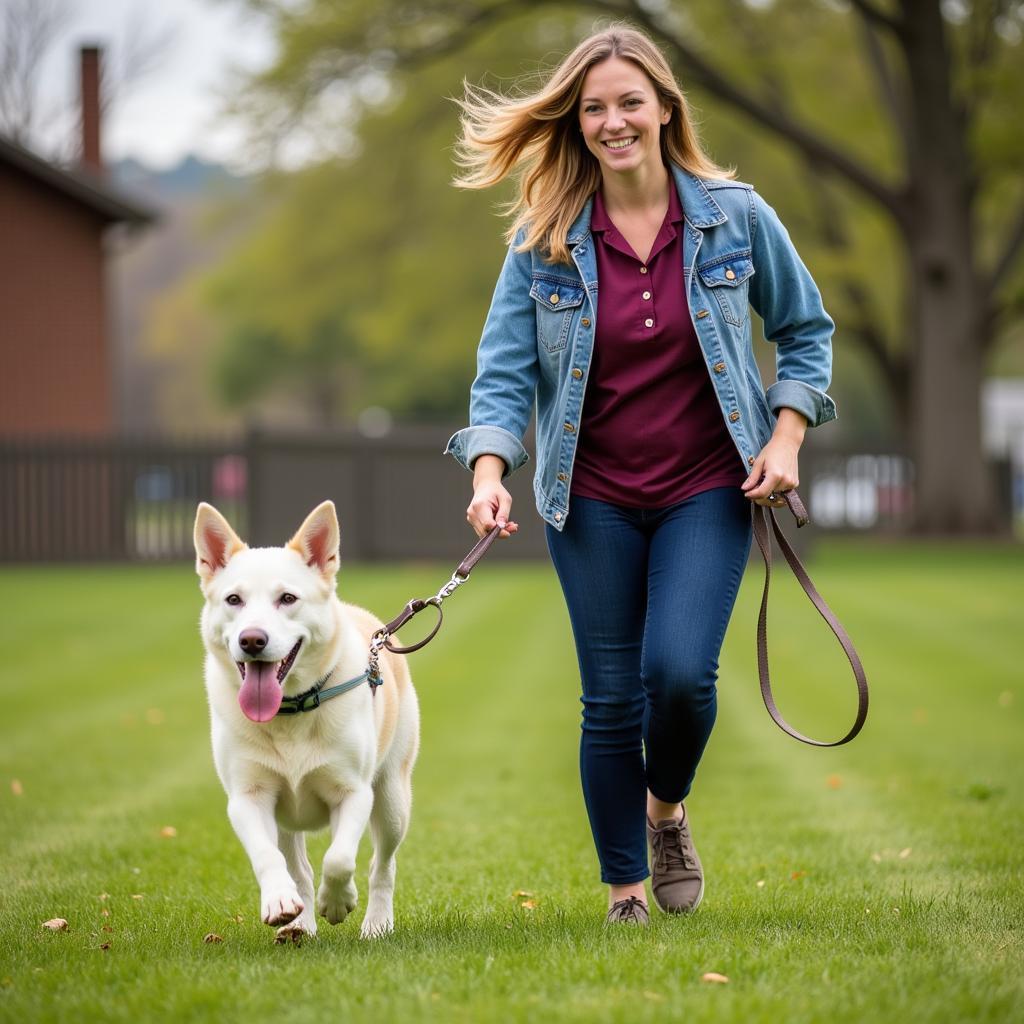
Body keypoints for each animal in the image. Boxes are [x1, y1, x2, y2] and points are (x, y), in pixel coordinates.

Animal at [193, 499, 417, 937]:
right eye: (233, 599)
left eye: (287, 598)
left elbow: (340, 858)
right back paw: (299, 923)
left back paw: (376, 922)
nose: (252, 640)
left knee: (382, 864)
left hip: (392, 798)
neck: (290, 710)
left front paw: (339, 902)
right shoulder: (247, 797)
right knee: (298, 868)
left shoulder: (354, 792)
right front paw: (281, 902)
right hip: (285, 820)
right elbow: (269, 858)